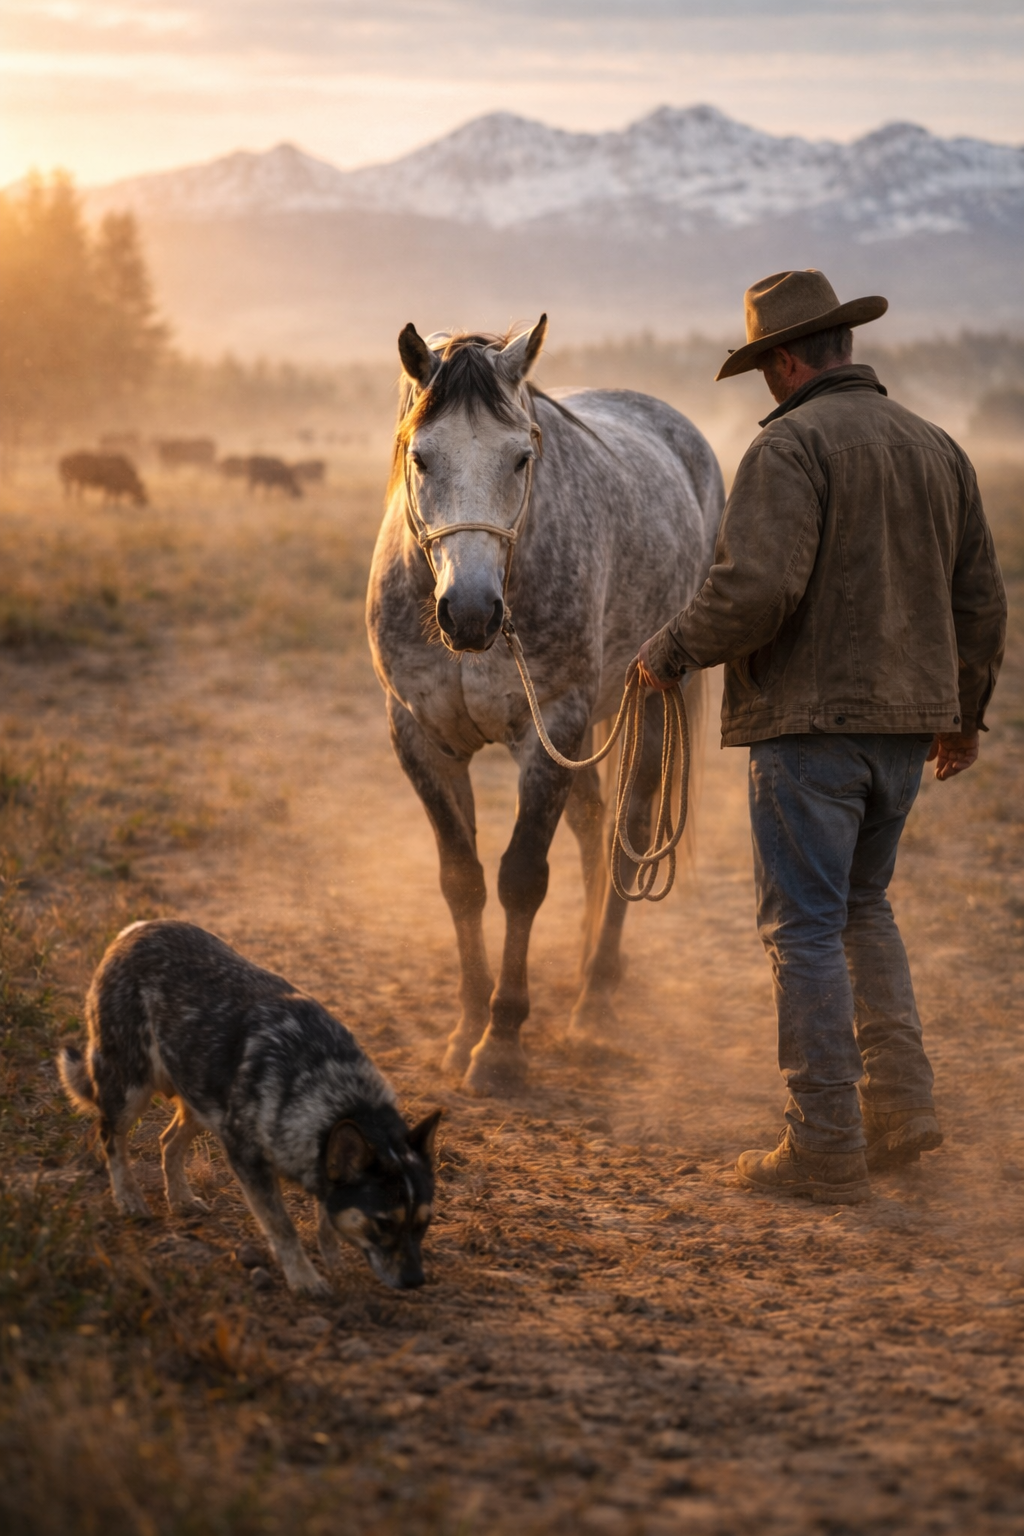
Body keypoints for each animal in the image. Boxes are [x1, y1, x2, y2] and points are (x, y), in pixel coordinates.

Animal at [366, 316, 724, 1096]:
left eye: (521, 457)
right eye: (422, 456)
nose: (470, 612)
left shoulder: (550, 726)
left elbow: (521, 879)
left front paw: (501, 1042)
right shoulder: (420, 737)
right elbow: (462, 880)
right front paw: (466, 1024)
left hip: (648, 703)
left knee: (630, 830)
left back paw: (596, 998)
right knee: (594, 829)